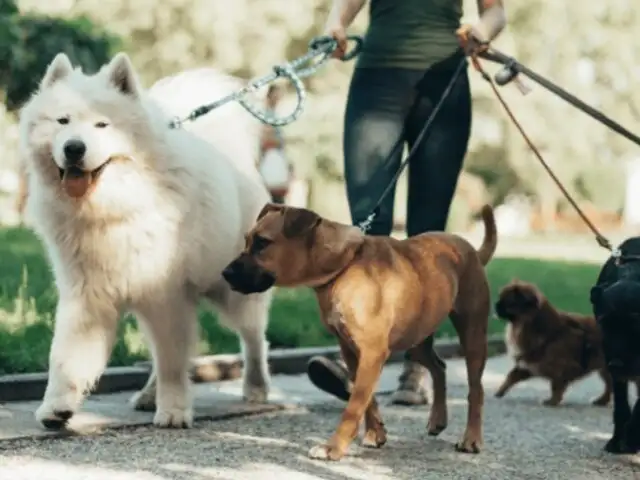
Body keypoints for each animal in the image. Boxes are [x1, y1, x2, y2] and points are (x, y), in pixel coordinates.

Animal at [18, 51, 274, 428]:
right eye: (62, 121)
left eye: (102, 125)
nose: (74, 148)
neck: (113, 208)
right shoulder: (87, 296)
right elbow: (66, 357)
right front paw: (57, 407)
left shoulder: (165, 294)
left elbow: (173, 363)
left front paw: (174, 411)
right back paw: (148, 395)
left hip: (233, 291)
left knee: (254, 339)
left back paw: (256, 387)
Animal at [222, 202, 498, 462]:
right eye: (247, 240)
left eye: (262, 243)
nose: (225, 273)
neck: (343, 266)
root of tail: (471, 250)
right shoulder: (352, 351)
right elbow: (367, 399)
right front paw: (375, 433)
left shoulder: (372, 353)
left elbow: (353, 407)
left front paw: (333, 447)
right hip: (417, 338)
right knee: (439, 368)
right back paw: (438, 419)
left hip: (472, 335)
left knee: (476, 390)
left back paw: (471, 439)